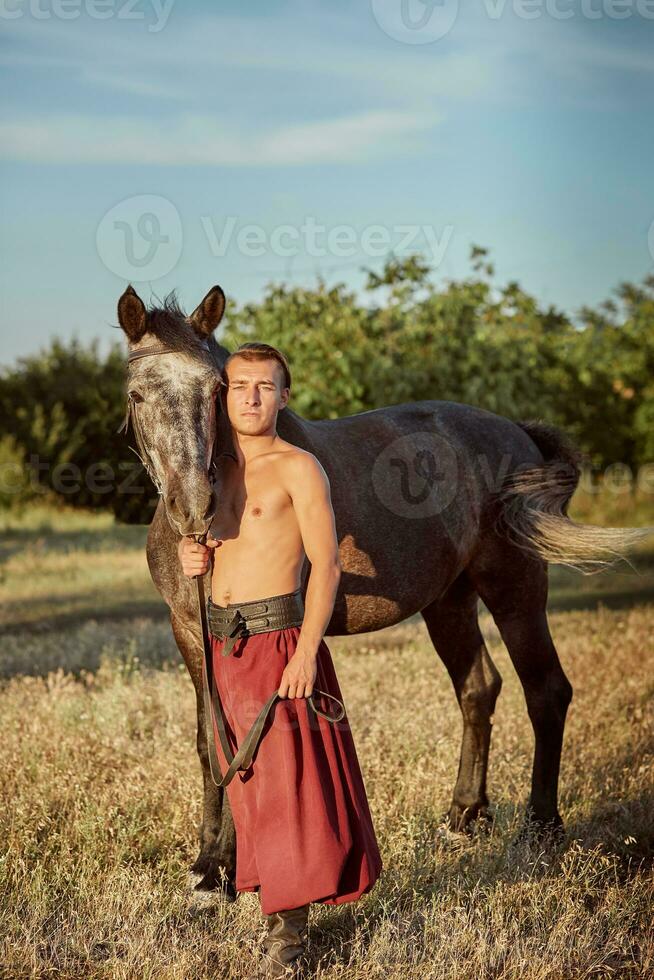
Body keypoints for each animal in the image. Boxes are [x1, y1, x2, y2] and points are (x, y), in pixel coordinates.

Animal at [116, 282, 652, 896]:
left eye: (216, 388)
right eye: (136, 395)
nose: (194, 509)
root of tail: (519, 435)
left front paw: (227, 867)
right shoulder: (190, 630)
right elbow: (214, 741)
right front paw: (210, 865)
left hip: (515, 587)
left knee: (545, 690)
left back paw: (540, 830)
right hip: (449, 601)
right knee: (479, 688)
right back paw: (463, 817)